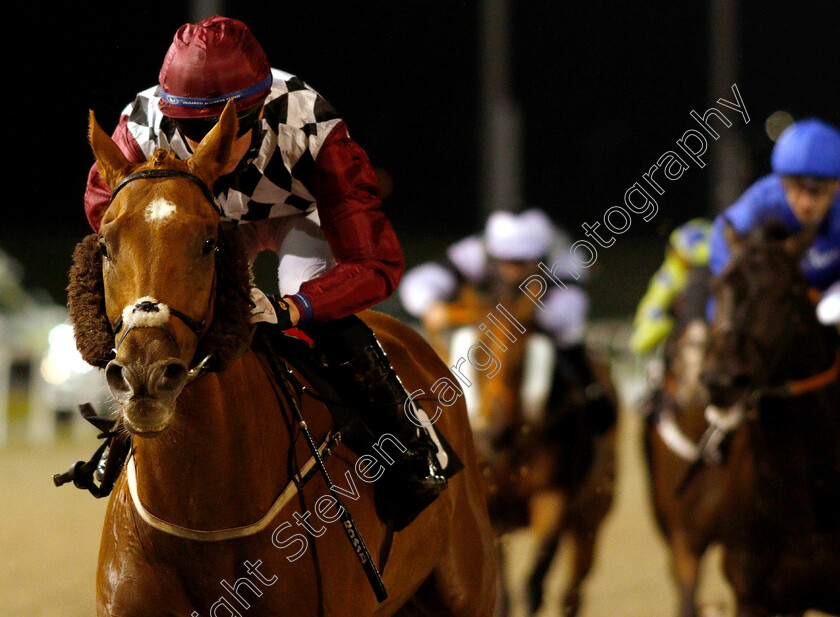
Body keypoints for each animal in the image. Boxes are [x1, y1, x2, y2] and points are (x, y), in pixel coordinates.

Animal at [424, 268, 612, 616]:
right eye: (479, 351)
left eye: (523, 357)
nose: (498, 432)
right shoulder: (492, 510)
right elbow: (503, 596)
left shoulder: (553, 495)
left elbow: (533, 585)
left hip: (590, 517)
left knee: (573, 592)